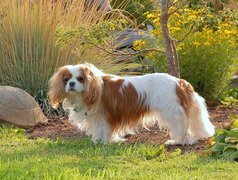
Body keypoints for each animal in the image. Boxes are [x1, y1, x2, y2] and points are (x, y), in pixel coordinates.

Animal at [47, 63, 215, 145]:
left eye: (80, 79)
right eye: (66, 79)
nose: (71, 84)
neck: (93, 88)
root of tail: (179, 82)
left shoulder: (103, 116)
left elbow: (103, 129)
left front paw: (103, 143)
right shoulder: (98, 118)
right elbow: (100, 130)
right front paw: (99, 140)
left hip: (172, 112)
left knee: (181, 129)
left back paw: (179, 142)